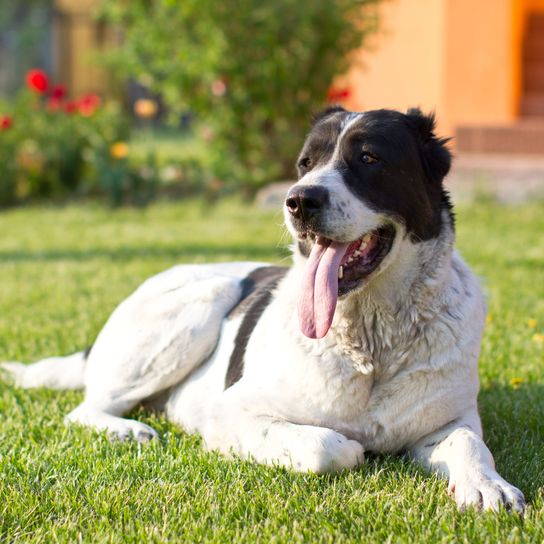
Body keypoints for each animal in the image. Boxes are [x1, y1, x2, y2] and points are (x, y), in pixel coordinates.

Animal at [2, 107, 524, 516]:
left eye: (369, 159)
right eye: (305, 164)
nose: (299, 199)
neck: (370, 339)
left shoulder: (450, 420)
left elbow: (468, 441)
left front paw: (487, 486)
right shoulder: (234, 413)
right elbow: (327, 445)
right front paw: (353, 446)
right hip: (199, 306)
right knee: (86, 408)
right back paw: (128, 430)